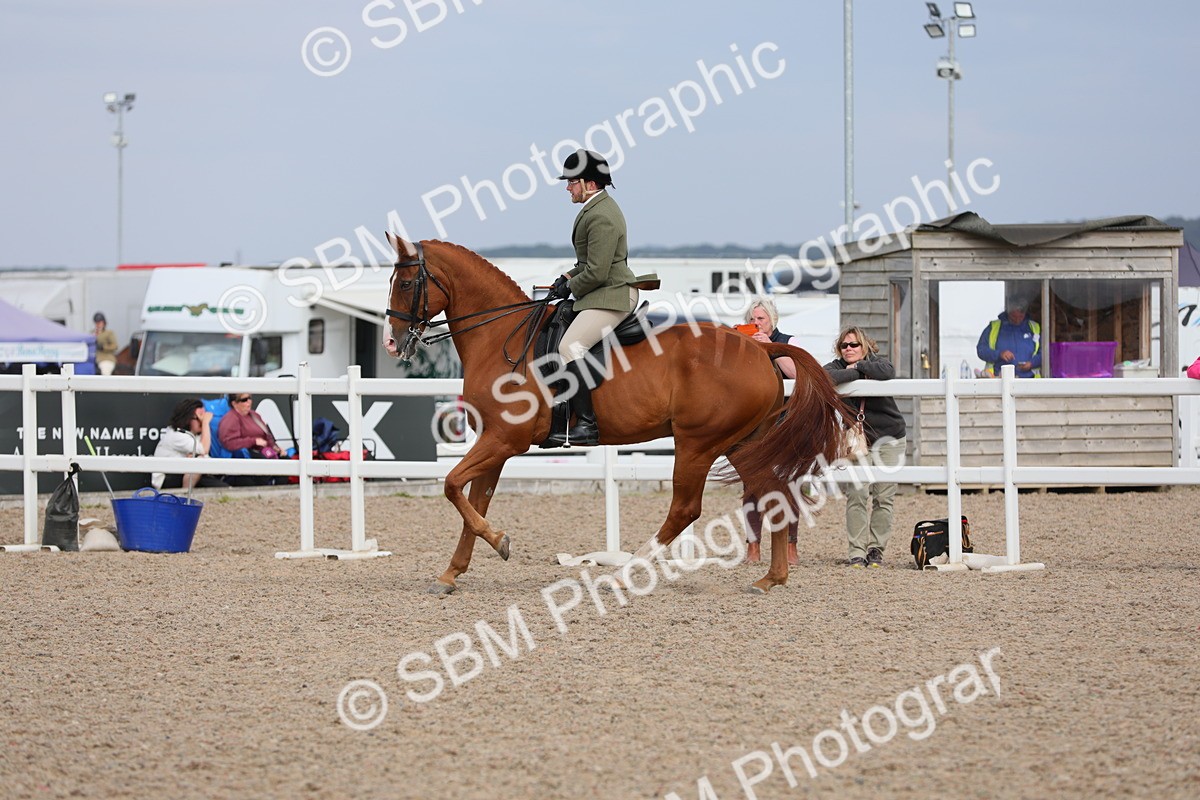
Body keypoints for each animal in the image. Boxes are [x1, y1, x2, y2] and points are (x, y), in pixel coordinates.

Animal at [382, 233, 847, 594]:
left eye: (404, 282)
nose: (392, 342)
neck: (500, 337)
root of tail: (759, 346)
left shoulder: (504, 440)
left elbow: (450, 485)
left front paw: (498, 541)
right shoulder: (494, 442)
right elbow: (473, 500)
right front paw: (454, 571)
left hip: (698, 444)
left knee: (685, 509)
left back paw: (626, 573)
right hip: (743, 442)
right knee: (774, 494)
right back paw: (771, 578)